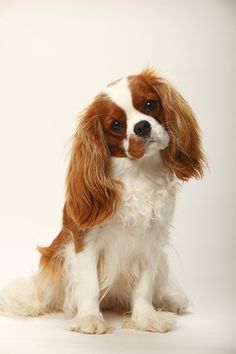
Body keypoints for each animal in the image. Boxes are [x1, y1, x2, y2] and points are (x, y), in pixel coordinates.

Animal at [0, 68, 205, 334]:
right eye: (116, 125)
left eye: (150, 104)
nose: (142, 127)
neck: (137, 174)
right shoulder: (84, 240)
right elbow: (89, 285)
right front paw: (89, 318)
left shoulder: (152, 242)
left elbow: (145, 285)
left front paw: (146, 317)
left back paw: (169, 300)